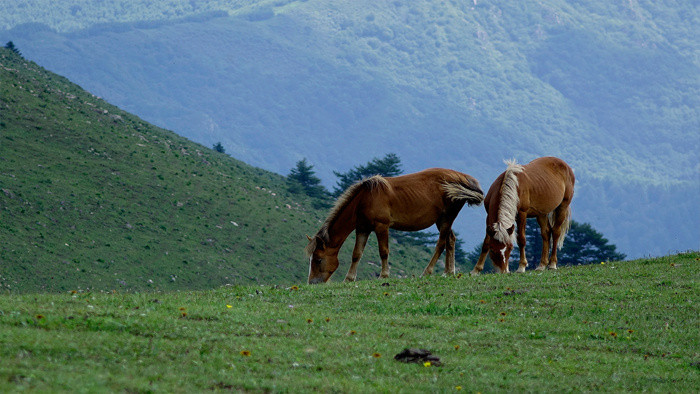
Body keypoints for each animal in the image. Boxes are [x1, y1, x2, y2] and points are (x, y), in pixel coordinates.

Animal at [306, 168, 486, 284]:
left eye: (318, 259)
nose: (312, 282)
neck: (365, 198)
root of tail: (462, 178)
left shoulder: (381, 226)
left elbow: (383, 251)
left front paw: (384, 275)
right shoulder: (363, 228)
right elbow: (356, 254)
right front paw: (349, 278)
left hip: (447, 218)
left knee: (441, 244)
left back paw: (427, 272)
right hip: (441, 220)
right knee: (451, 240)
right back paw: (448, 272)